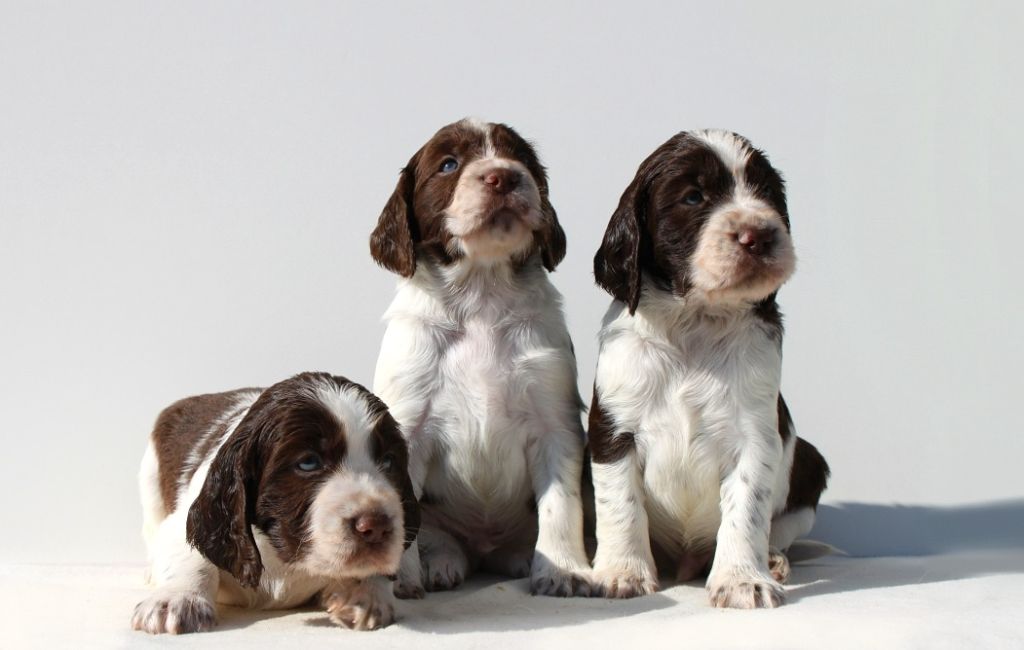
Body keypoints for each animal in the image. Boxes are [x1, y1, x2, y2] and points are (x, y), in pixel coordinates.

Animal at [130, 374, 417, 634]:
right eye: (308, 462)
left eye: (389, 461)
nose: (376, 526)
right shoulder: (184, 521)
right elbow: (189, 554)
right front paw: (176, 599)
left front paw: (363, 595)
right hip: (150, 485)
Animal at [368, 118, 593, 601]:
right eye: (449, 165)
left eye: (521, 160)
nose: (503, 177)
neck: (481, 295)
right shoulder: (408, 423)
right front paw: (403, 580)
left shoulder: (555, 422)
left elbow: (562, 504)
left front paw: (565, 570)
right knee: (440, 539)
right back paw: (441, 564)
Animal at [585, 132, 831, 610]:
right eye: (693, 197)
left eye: (766, 194)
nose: (760, 235)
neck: (694, 324)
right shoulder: (612, 428)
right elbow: (619, 503)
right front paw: (621, 574)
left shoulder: (756, 436)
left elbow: (747, 509)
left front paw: (742, 581)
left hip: (809, 465)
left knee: (781, 526)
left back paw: (772, 560)